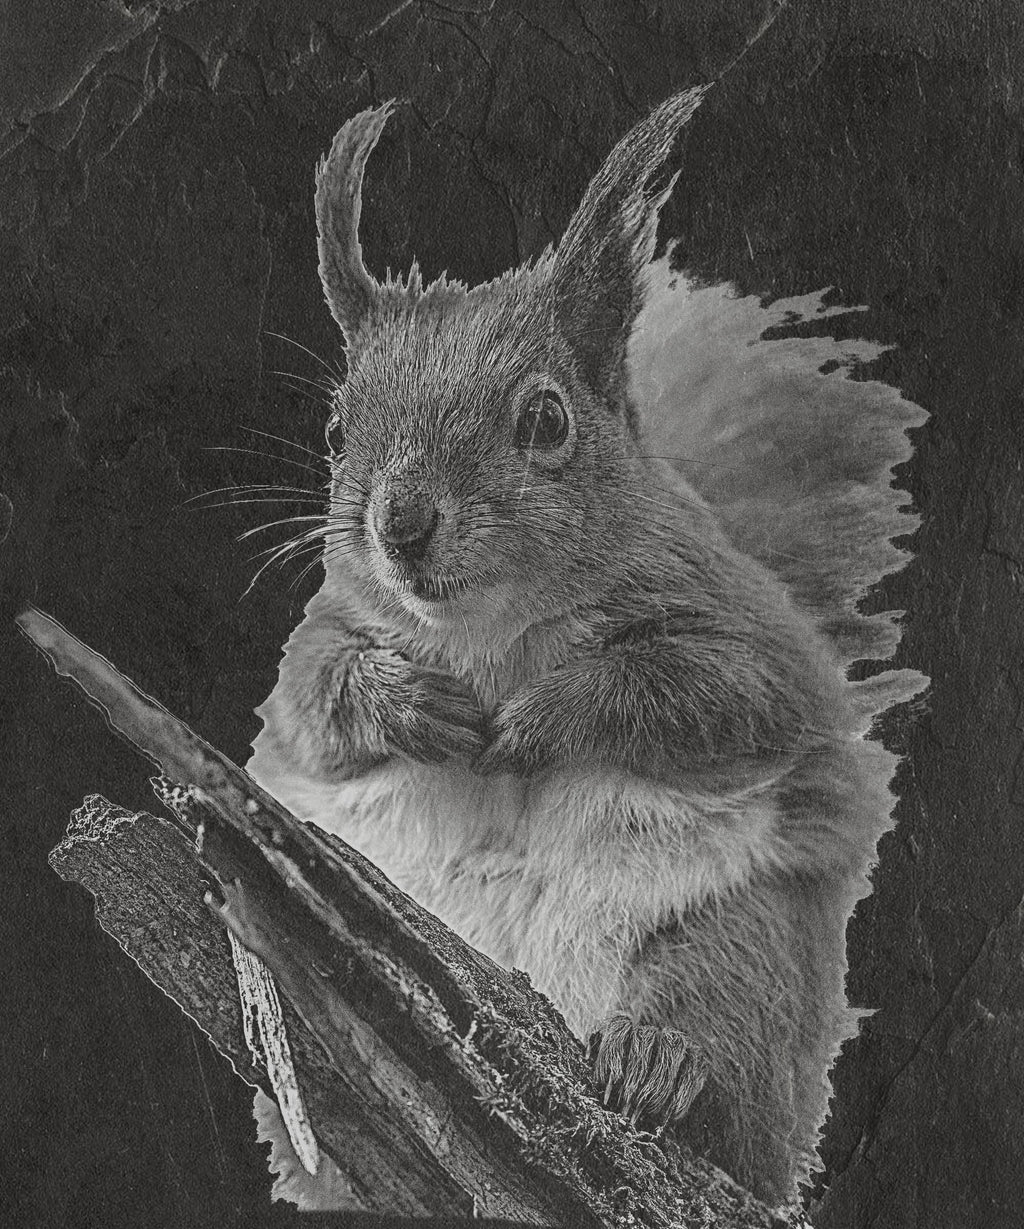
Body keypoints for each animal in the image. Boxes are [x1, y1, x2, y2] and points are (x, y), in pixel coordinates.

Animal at [246, 86, 927, 1208]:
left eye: (546, 419)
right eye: (339, 431)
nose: (401, 525)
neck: (486, 631)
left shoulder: (746, 634)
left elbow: (705, 690)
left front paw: (543, 714)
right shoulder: (324, 635)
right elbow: (317, 700)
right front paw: (416, 707)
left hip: (743, 940)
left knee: (718, 1039)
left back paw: (659, 1062)